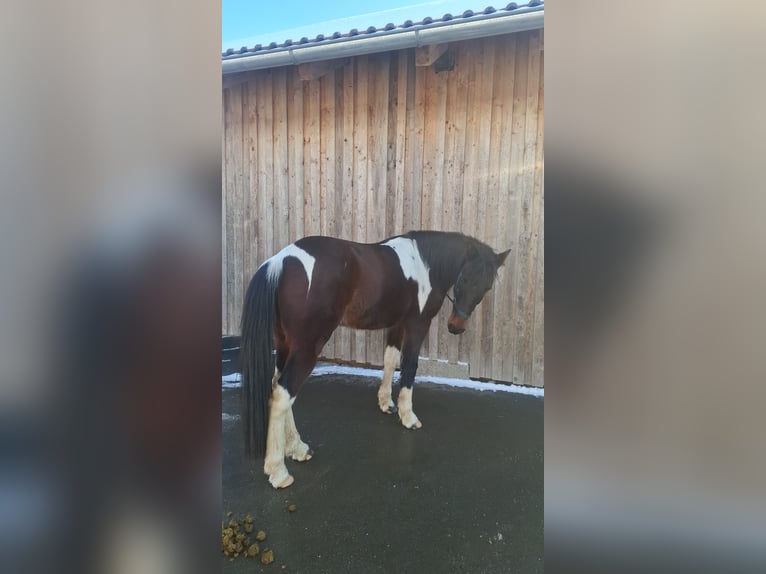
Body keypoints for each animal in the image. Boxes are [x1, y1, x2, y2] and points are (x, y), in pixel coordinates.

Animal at [240, 230, 510, 488]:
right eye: (463, 279)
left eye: (486, 287)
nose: (456, 327)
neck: (425, 263)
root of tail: (279, 262)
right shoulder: (417, 324)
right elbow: (409, 367)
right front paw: (408, 416)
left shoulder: (396, 324)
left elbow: (390, 360)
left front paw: (386, 403)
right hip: (307, 348)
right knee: (283, 395)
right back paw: (278, 471)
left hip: (285, 344)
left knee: (277, 386)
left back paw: (296, 448)